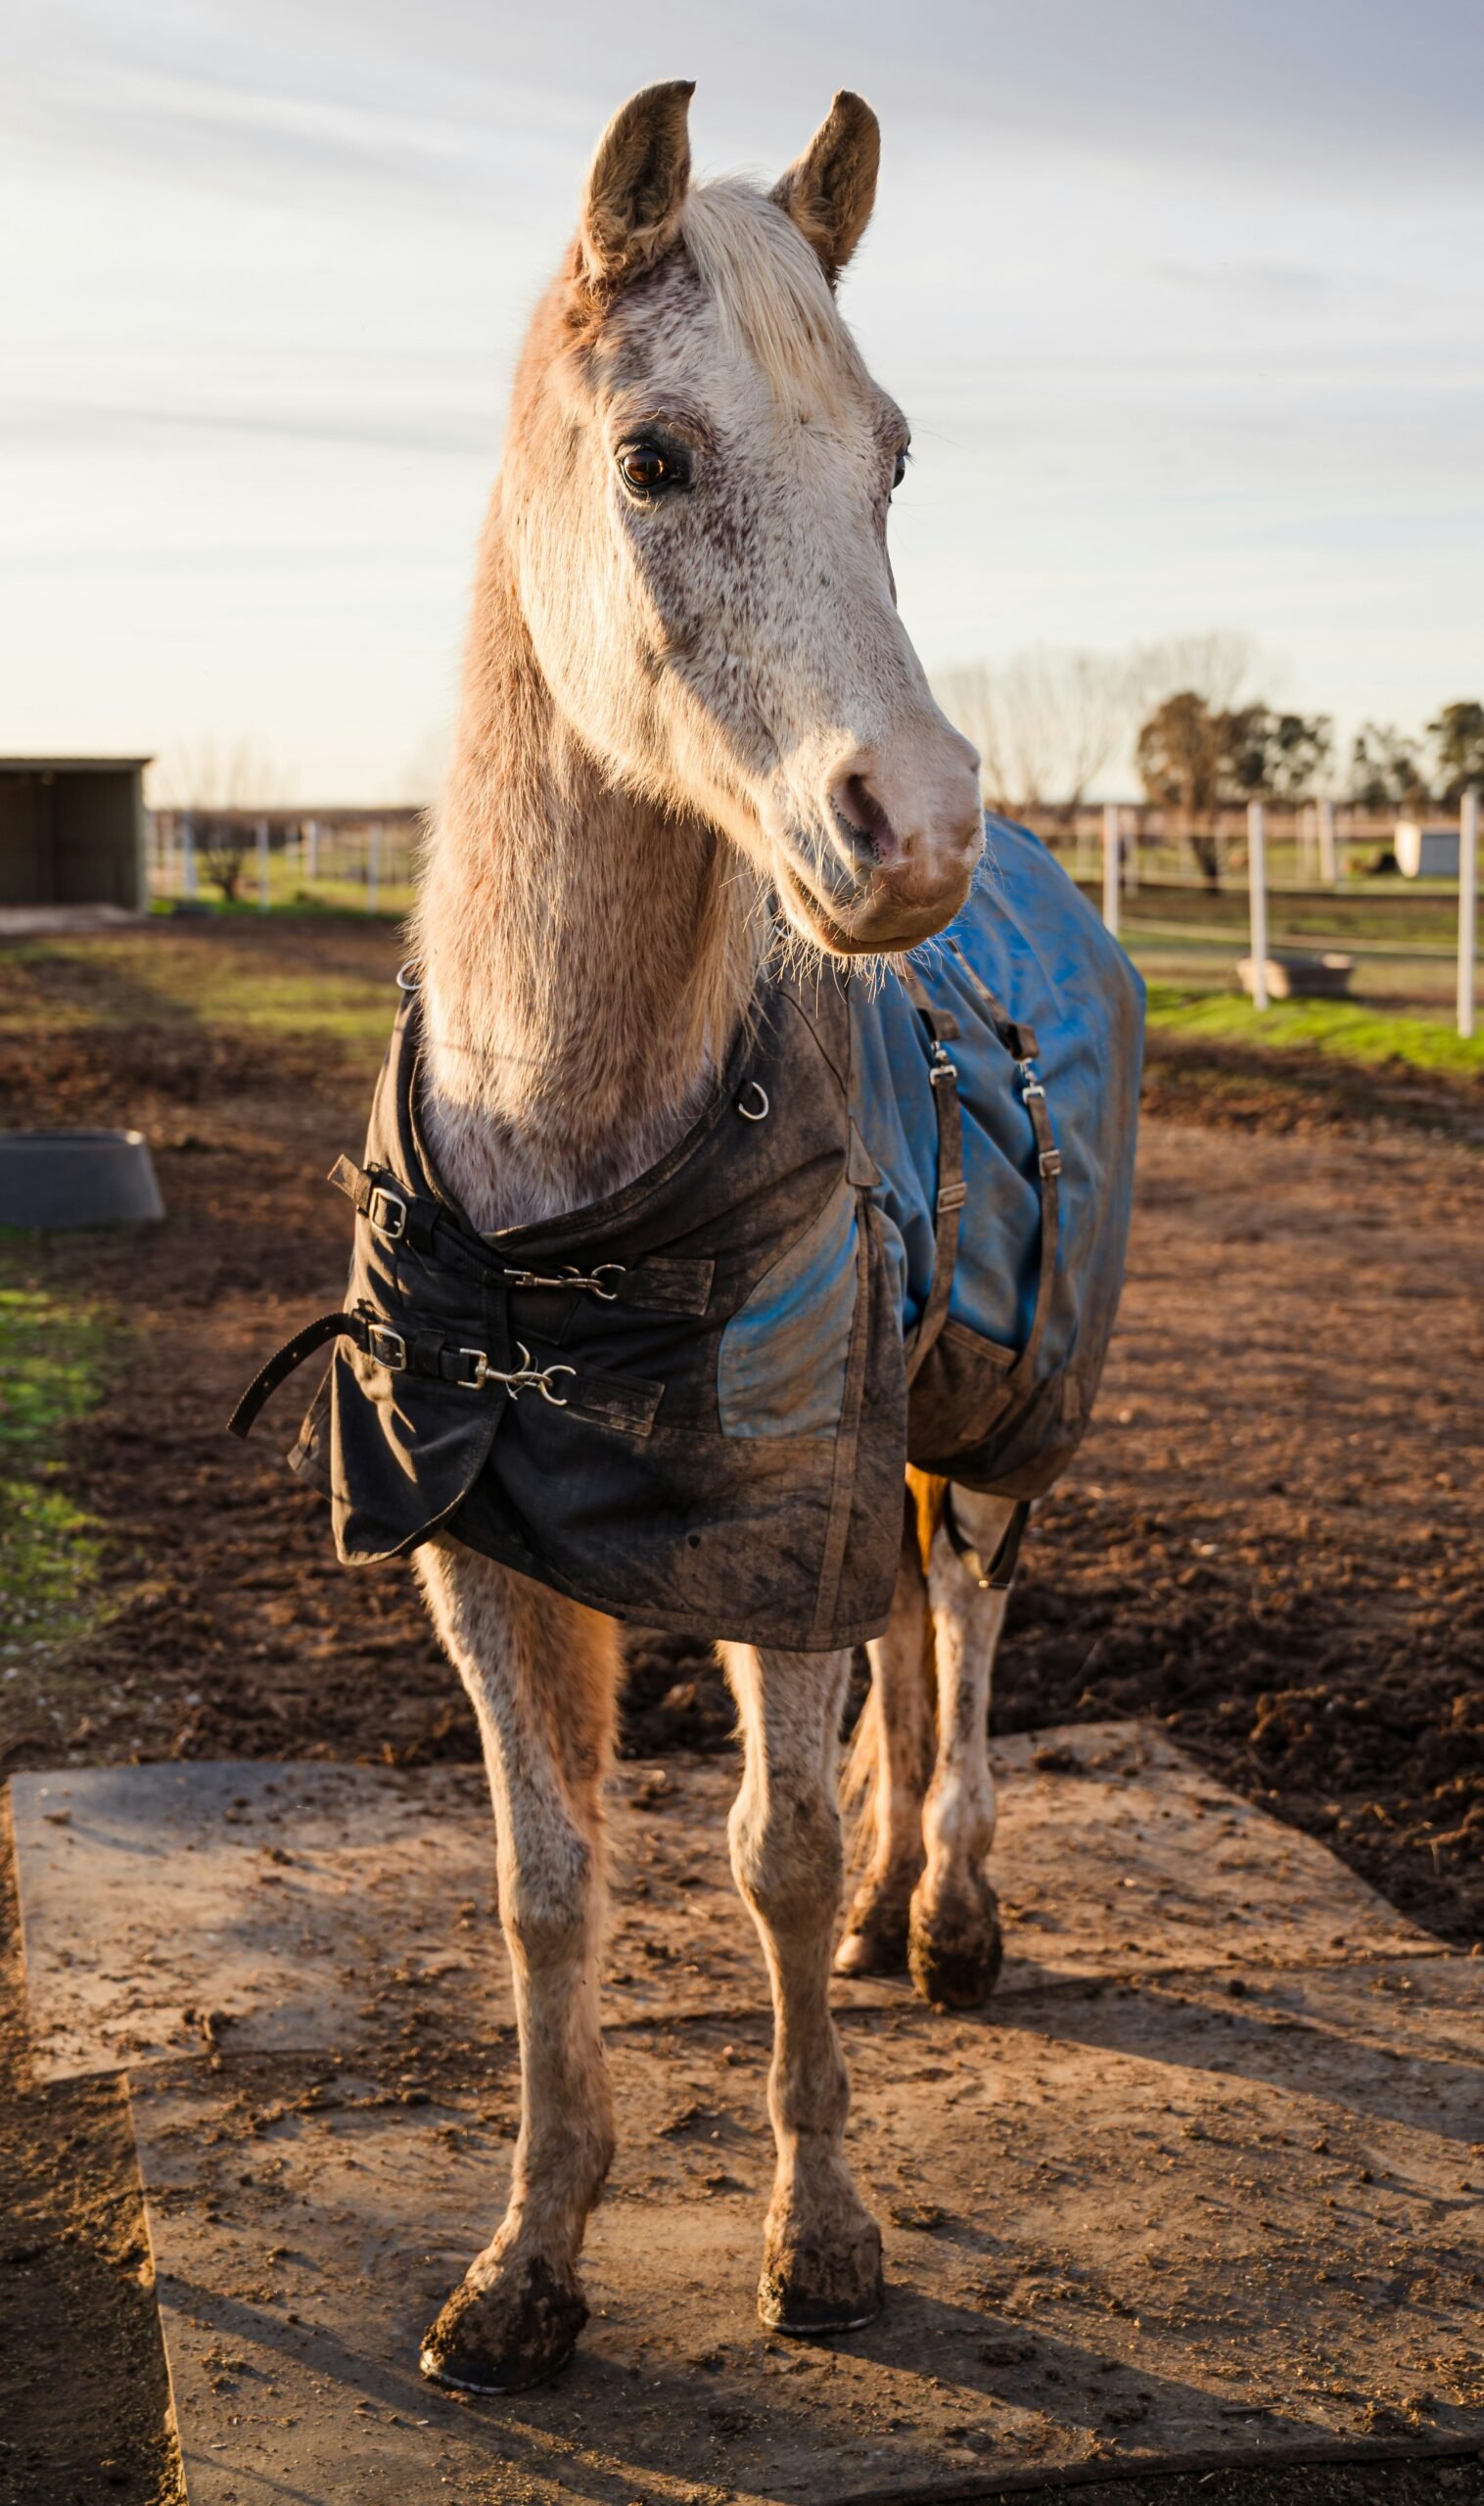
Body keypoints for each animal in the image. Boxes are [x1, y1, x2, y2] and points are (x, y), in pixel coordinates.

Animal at [301, 78, 1118, 2386]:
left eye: (892, 456)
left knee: (967, 1626)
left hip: (993, 1437)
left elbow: (773, 1846)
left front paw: (821, 2233)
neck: (567, 1180)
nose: (910, 829)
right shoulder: (477, 1545)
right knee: (915, 1642)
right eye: (654, 457)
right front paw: (525, 2257)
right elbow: (548, 1884)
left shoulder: (780, 1523)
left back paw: (948, 1913)